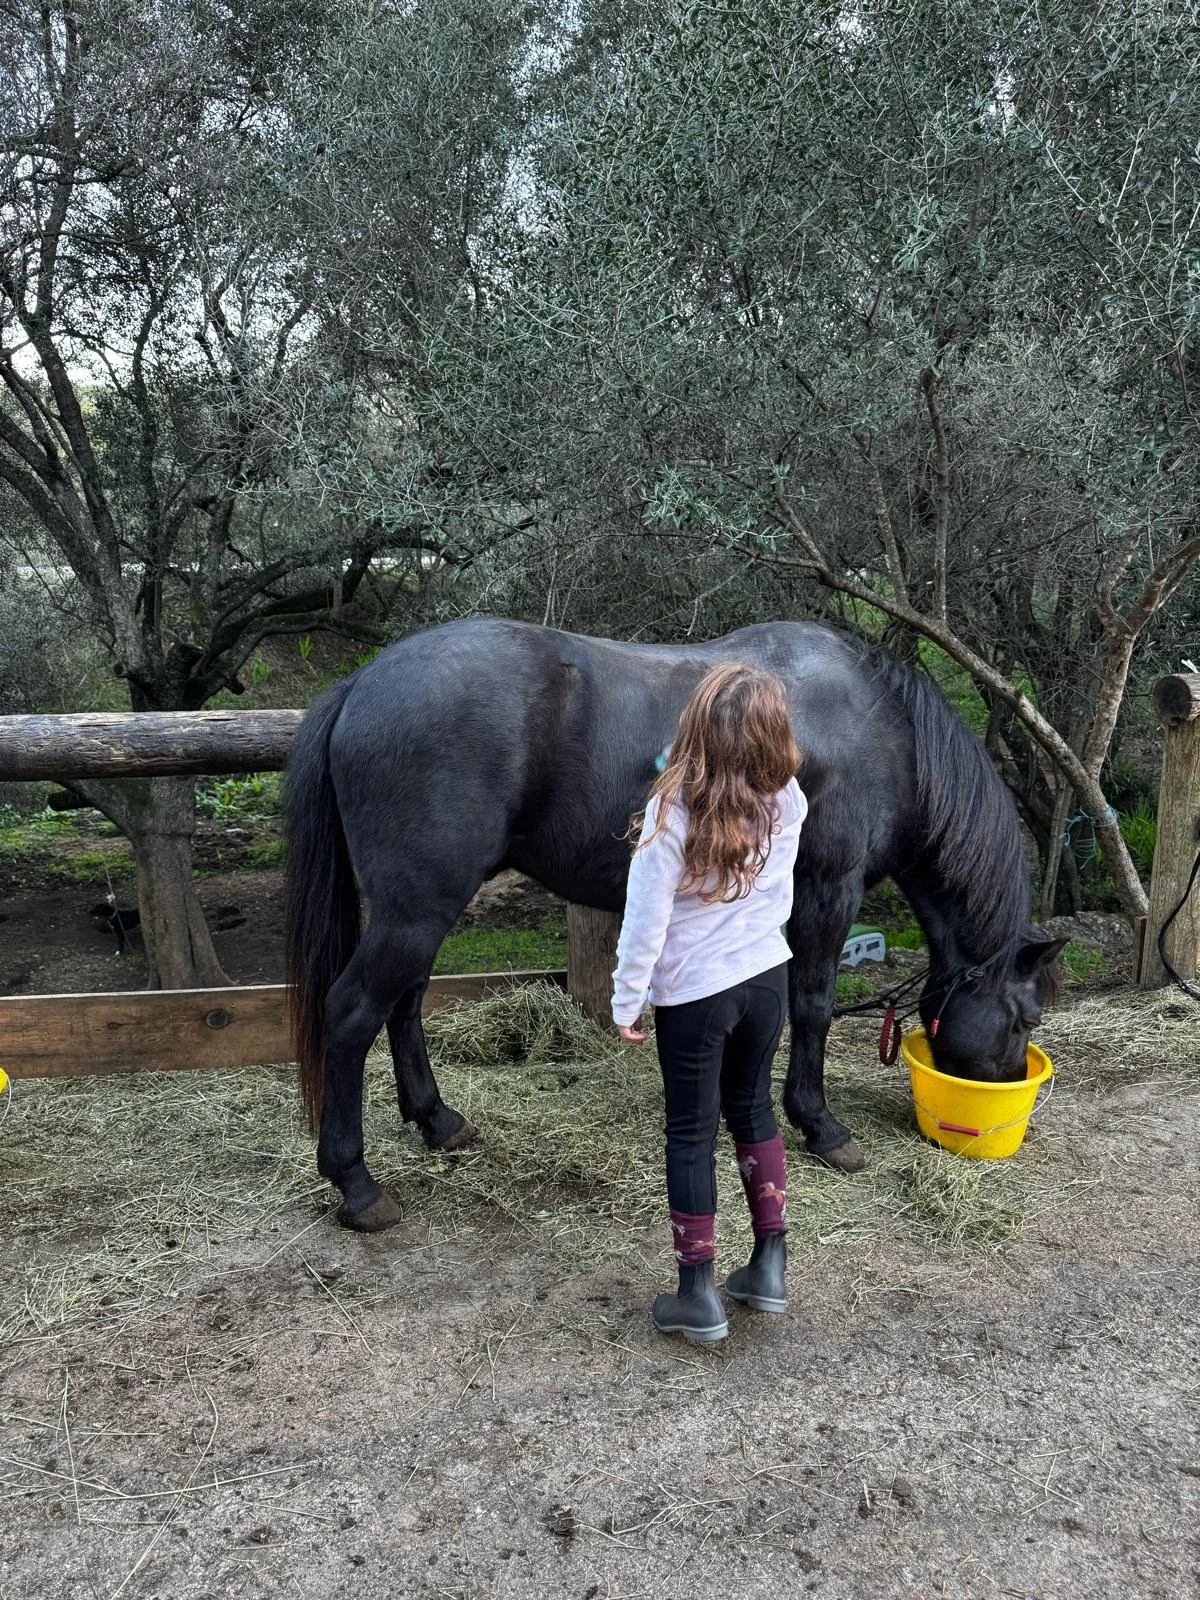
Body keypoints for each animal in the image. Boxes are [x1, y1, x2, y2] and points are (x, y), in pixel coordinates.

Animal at [283, 617, 1065, 1231]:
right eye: (1024, 1018)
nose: (1003, 1086)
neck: (879, 727)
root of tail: (361, 684)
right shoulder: (826, 893)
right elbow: (811, 1008)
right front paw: (819, 1125)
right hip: (418, 908)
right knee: (353, 1011)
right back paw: (356, 1184)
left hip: (420, 910)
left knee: (404, 1002)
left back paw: (438, 1121)